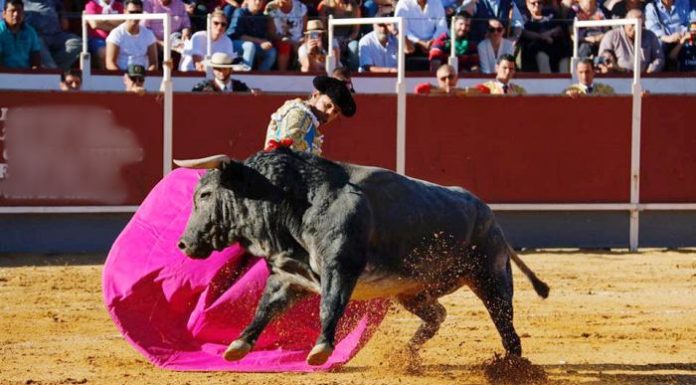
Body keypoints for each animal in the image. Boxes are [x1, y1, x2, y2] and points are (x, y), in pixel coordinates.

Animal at [178, 148, 548, 364]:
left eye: (205, 194)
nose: (182, 243)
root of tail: (488, 213)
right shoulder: (288, 276)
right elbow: (264, 308)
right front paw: (238, 345)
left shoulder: (340, 268)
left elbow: (330, 305)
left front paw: (321, 350)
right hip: (413, 290)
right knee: (437, 315)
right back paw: (406, 356)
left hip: (490, 275)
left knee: (506, 325)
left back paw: (513, 367)